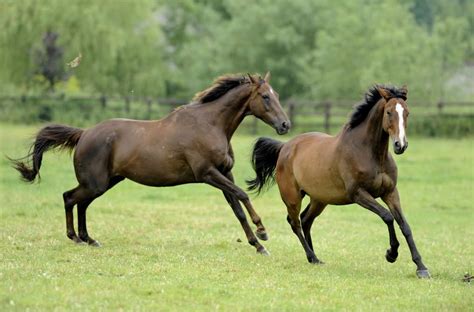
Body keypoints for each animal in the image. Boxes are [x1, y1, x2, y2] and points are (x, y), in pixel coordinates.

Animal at [12, 73, 288, 256]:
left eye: (276, 95)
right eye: (265, 97)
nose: (285, 125)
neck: (210, 124)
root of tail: (84, 133)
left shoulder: (224, 174)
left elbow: (237, 209)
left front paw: (258, 245)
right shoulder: (208, 174)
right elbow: (243, 195)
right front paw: (262, 231)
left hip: (105, 182)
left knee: (81, 203)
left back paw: (89, 239)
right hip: (95, 183)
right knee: (69, 197)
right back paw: (77, 239)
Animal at [246, 84, 432, 278]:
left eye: (407, 113)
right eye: (388, 112)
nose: (400, 145)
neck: (369, 153)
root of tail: (284, 147)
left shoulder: (390, 192)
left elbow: (405, 226)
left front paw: (421, 267)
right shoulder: (358, 194)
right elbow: (387, 216)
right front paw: (391, 254)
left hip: (319, 199)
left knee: (305, 220)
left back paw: (315, 258)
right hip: (292, 197)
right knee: (295, 223)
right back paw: (312, 256)